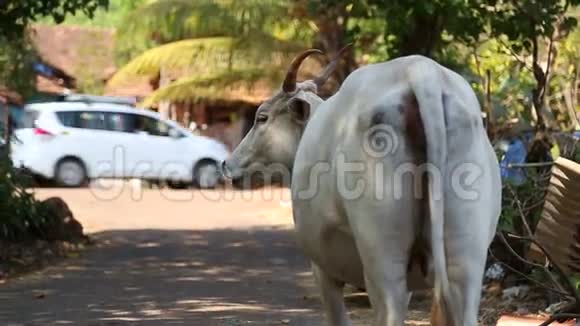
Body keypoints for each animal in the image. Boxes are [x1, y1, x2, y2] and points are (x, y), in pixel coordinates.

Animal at [222, 49, 502, 326]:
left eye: (262, 118)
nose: (226, 164)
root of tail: (421, 70)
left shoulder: (323, 268)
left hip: (382, 255)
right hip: (466, 260)